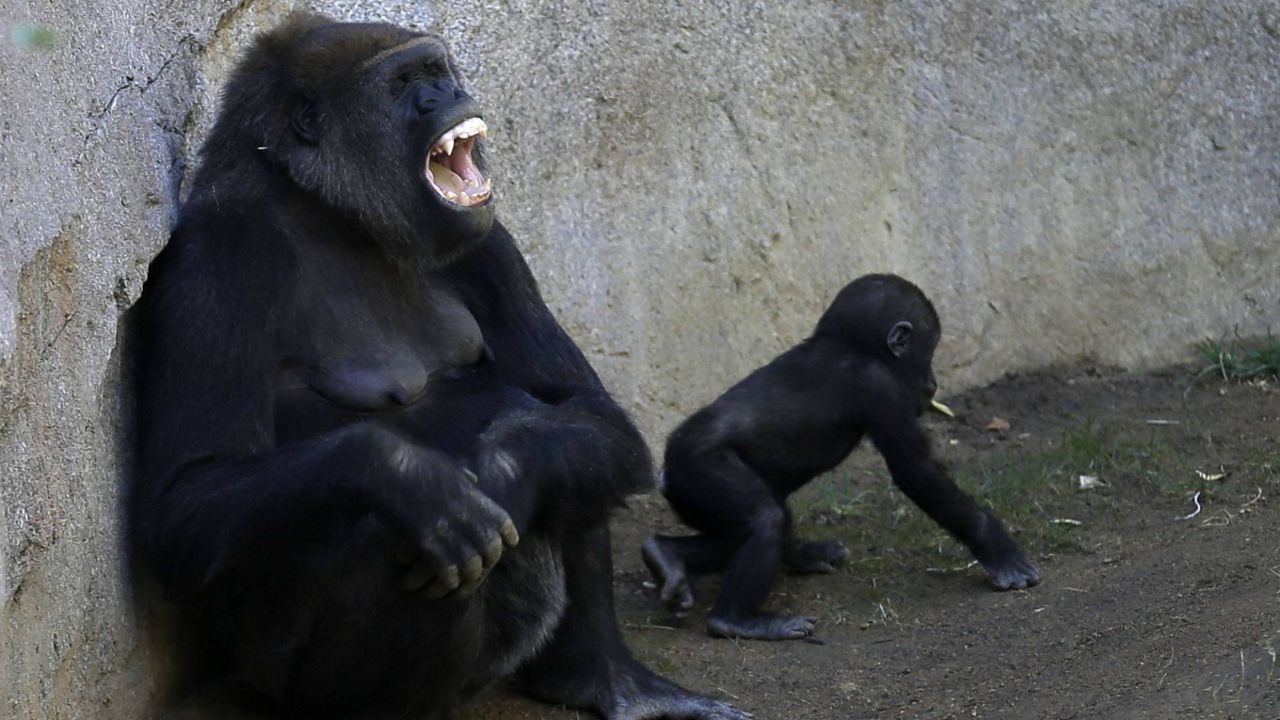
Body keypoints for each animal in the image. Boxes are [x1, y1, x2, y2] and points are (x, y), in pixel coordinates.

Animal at [127, 12, 742, 717]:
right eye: (401, 84)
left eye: (437, 72)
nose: (445, 95)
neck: (331, 210)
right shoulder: (221, 256)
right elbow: (188, 499)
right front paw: (407, 479)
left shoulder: (489, 241)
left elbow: (581, 409)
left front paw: (505, 471)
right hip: (276, 678)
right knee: (384, 532)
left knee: (562, 437)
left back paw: (602, 676)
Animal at [645, 271, 1044, 635]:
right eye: (929, 351)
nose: (933, 383)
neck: (850, 345)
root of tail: (664, 474)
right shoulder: (880, 387)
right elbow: (918, 472)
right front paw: (997, 548)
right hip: (702, 472)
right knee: (765, 520)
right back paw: (736, 620)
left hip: (697, 498)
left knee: (741, 532)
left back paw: (668, 557)